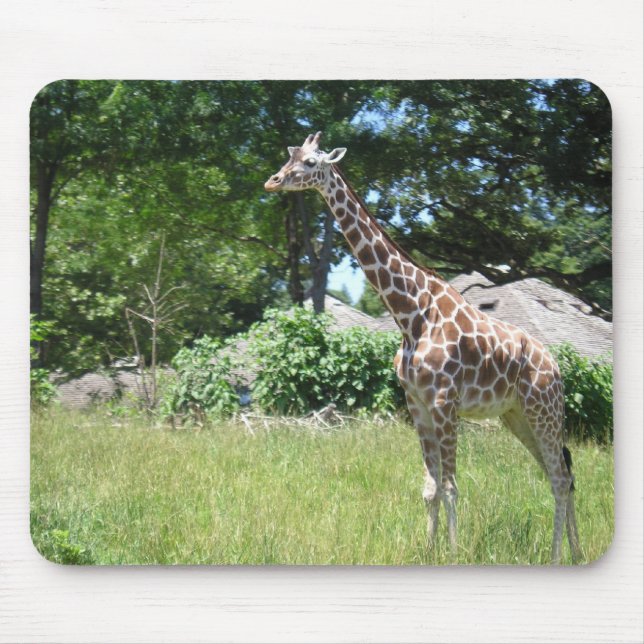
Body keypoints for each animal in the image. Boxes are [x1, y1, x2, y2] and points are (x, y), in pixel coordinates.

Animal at [264, 132, 582, 564]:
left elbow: (450, 486)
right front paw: (429, 551)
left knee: (561, 476)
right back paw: (575, 554)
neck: (410, 312)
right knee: (561, 474)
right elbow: (430, 488)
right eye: (290, 156)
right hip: (517, 416)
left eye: (311, 162)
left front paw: (454, 553)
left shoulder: (445, 401)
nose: (274, 181)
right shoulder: (415, 402)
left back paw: (557, 557)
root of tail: (557, 368)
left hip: (544, 410)